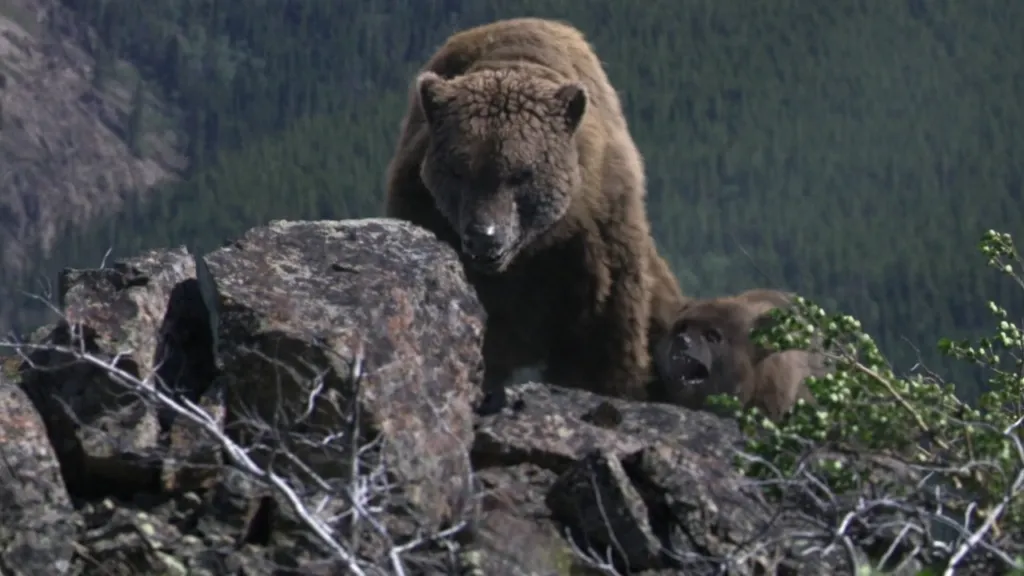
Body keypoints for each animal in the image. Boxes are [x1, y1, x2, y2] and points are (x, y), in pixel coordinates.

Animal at [383, 17, 685, 407]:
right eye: (459, 171)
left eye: (522, 173)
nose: (484, 237)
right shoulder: (422, 206)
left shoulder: (595, 242)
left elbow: (602, 344)